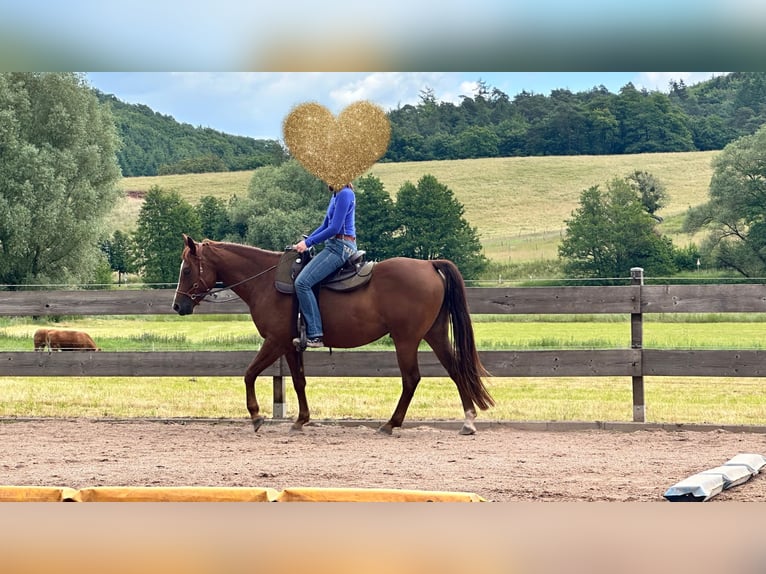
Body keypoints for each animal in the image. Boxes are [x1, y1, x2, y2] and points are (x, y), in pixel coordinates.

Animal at [172, 234, 494, 435]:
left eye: (186, 270)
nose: (178, 306)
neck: (265, 281)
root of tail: (429, 264)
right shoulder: (290, 345)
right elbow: (299, 381)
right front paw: (301, 420)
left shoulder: (274, 341)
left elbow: (249, 373)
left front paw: (256, 416)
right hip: (434, 334)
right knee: (456, 370)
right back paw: (468, 421)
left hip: (406, 339)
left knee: (412, 379)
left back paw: (391, 424)